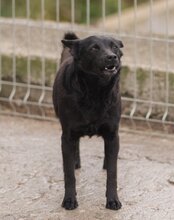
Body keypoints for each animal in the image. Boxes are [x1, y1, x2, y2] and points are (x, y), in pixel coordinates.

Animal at [53, 32, 123, 210]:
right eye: (94, 48)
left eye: (115, 47)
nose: (112, 57)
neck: (95, 92)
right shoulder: (67, 136)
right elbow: (69, 174)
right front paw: (69, 200)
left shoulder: (112, 134)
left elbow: (113, 173)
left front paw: (113, 200)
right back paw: (76, 161)